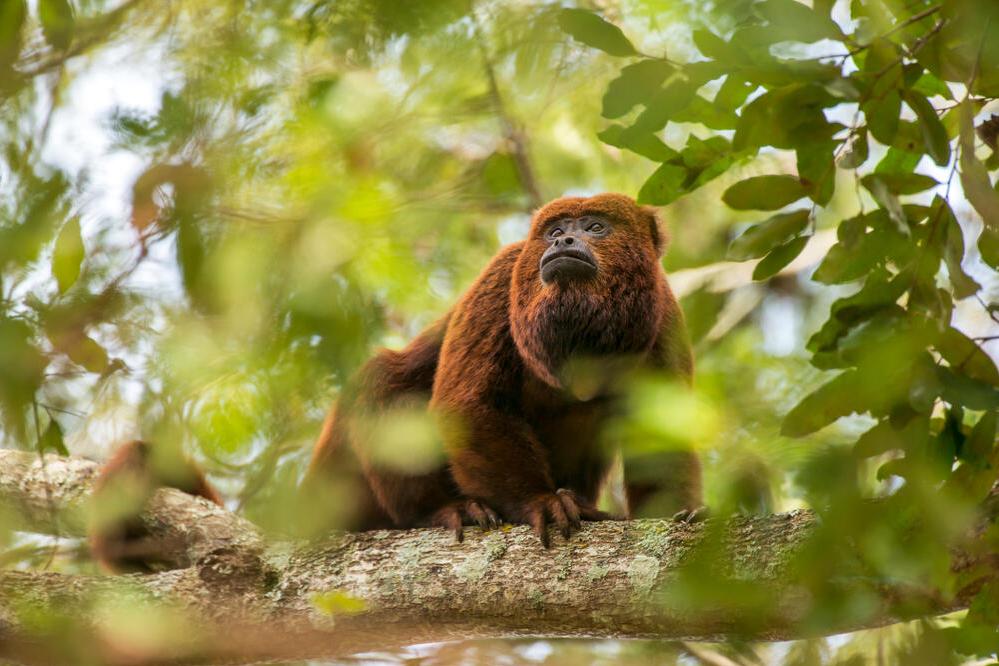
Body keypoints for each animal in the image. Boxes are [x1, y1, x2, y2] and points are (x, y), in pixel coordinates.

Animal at [91, 192, 701, 570]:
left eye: (595, 227)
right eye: (554, 230)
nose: (561, 245)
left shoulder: (665, 315)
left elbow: (663, 438)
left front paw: (678, 517)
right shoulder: (504, 272)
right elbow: (466, 406)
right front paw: (538, 502)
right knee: (384, 379)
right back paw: (439, 513)